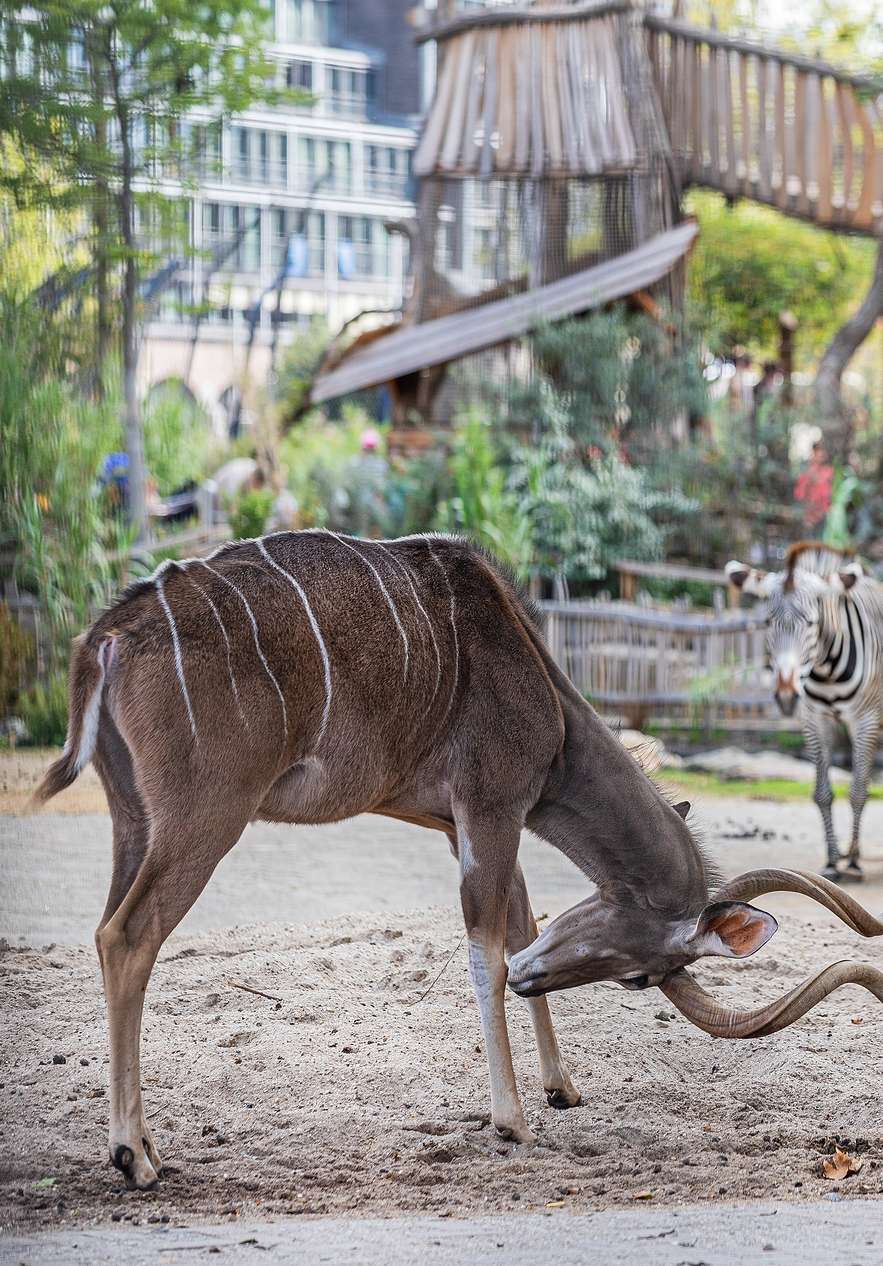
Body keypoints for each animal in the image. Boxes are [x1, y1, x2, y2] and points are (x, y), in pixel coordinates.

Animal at [726, 542, 883, 882]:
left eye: (811, 623)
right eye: (767, 623)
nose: (786, 696)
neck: (826, 669)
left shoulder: (864, 719)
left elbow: (858, 790)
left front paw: (853, 861)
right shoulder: (814, 719)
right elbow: (822, 793)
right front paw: (833, 860)